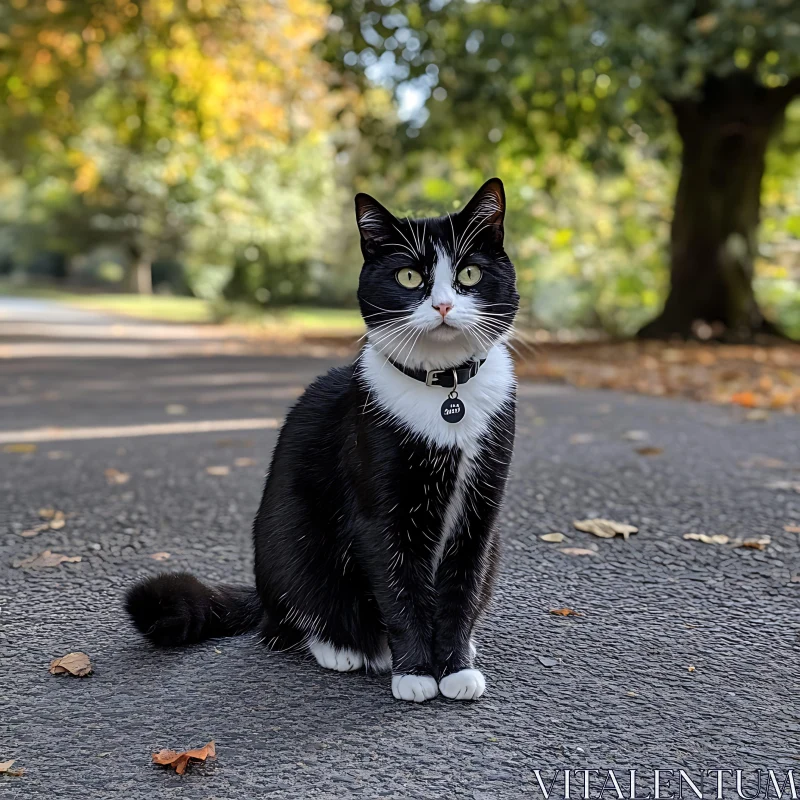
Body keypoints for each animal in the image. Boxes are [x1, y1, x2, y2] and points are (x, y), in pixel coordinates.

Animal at [125, 178, 520, 704]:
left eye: (470, 273)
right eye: (409, 277)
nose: (442, 306)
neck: (444, 393)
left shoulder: (481, 512)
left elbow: (463, 586)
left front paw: (455, 667)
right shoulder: (378, 510)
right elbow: (399, 590)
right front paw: (416, 673)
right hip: (292, 541)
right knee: (285, 623)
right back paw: (342, 648)